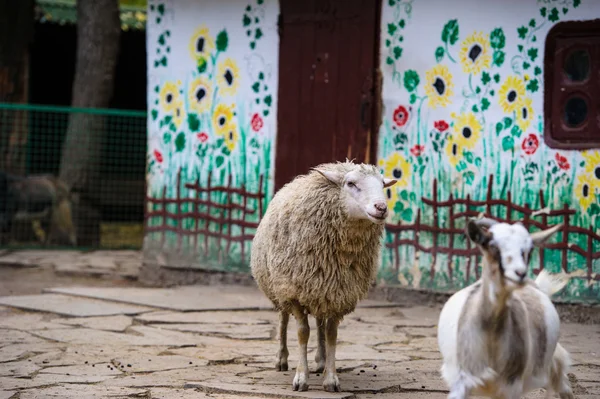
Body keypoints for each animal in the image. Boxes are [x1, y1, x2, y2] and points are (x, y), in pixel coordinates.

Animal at [250, 161, 396, 392]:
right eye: (351, 183)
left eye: (383, 184)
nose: (381, 208)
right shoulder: (294, 292)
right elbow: (303, 332)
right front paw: (301, 378)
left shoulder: (338, 292)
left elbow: (331, 335)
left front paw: (330, 378)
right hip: (280, 287)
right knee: (283, 319)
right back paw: (282, 359)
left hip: (320, 288)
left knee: (319, 321)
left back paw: (320, 360)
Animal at [438, 219, 576, 399]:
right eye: (492, 245)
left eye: (529, 249)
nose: (520, 273)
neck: (491, 332)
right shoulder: (462, 379)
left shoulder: (512, 384)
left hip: (550, 364)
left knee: (563, 384)